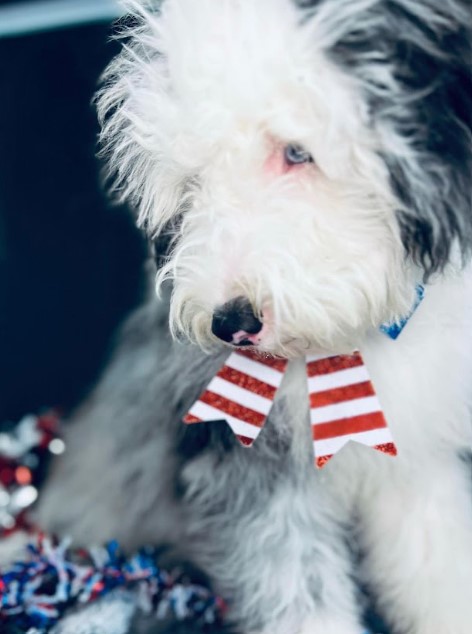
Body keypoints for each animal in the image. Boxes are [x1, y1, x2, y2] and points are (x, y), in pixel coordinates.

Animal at [37, 0, 472, 628]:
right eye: (193, 178)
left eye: (297, 152)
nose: (230, 322)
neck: (341, 349)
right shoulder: (251, 481)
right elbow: (300, 599)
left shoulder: (414, 461)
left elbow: (439, 567)